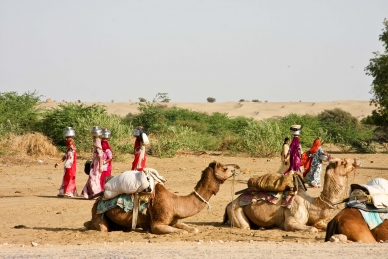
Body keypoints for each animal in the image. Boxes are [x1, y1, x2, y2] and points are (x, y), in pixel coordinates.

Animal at [84, 161, 239, 235]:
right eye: (224, 168)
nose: (236, 168)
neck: (175, 202)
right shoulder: (158, 224)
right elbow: (182, 232)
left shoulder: (174, 220)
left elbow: (194, 229)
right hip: (98, 215)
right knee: (99, 228)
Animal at [223, 158, 362, 234]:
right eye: (344, 162)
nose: (357, 160)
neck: (311, 204)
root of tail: (229, 203)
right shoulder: (291, 219)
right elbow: (310, 228)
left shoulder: (318, 220)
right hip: (236, 209)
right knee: (245, 226)